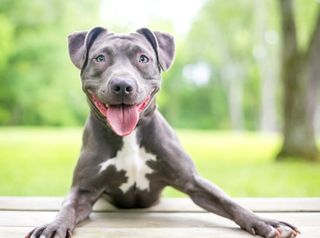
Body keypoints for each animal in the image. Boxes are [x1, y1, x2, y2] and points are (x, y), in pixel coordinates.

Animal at [26, 27, 300, 238]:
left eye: (143, 58)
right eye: (100, 58)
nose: (122, 85)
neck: (130, 137)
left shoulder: (192, 181)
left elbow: (229, 202)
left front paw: (265, 222)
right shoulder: (83, 190)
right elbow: (68, 208)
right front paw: (53, 226)